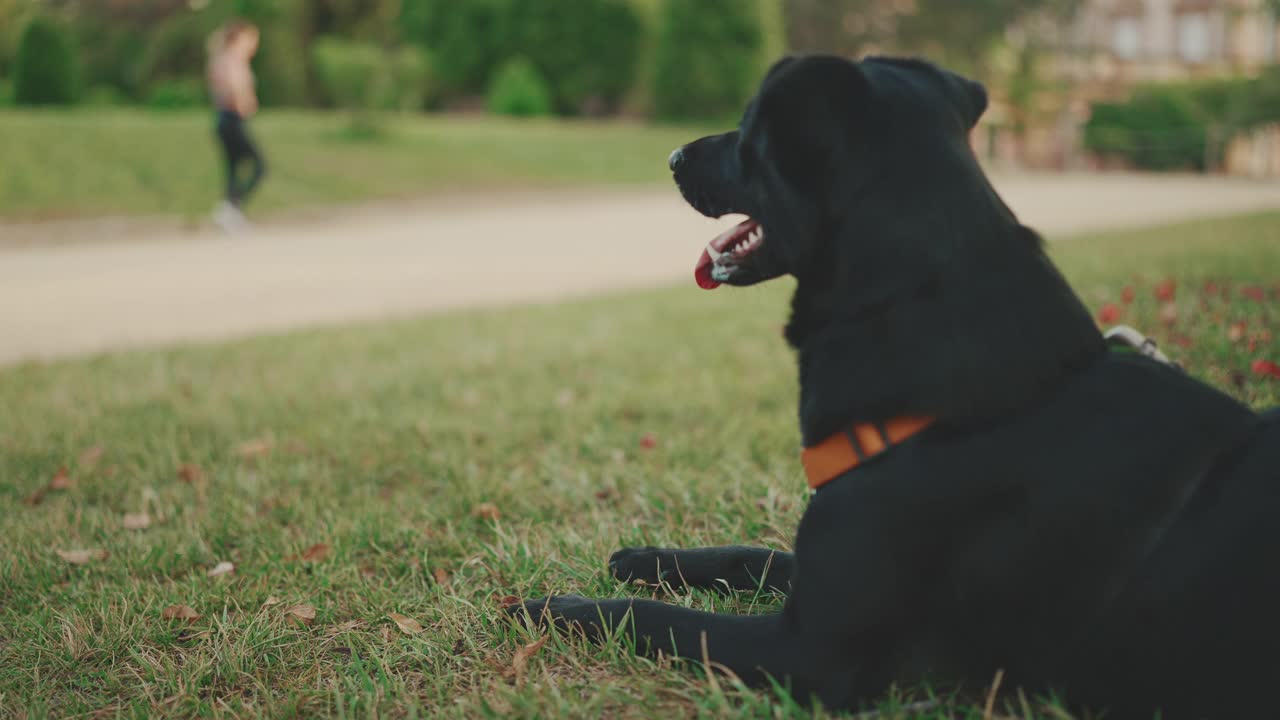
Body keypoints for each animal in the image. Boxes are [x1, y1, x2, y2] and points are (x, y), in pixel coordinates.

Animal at [509, 56, 1280, 717]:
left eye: (753, 130)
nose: (671, 157)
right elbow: (754, 555)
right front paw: (646, 557)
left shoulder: (807, 651)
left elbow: (658, 618)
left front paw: (557, 607)